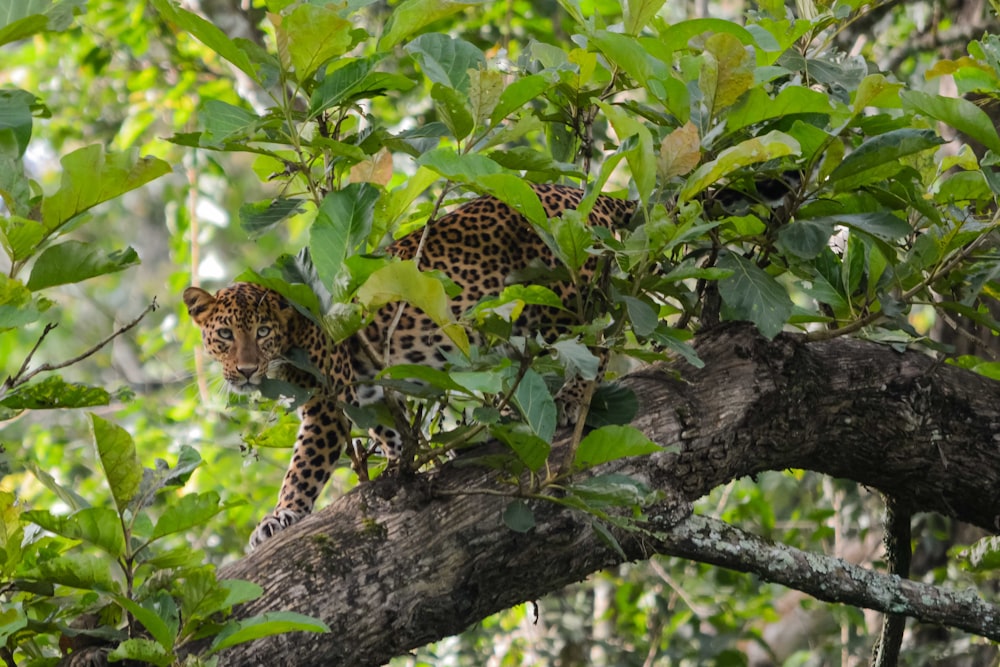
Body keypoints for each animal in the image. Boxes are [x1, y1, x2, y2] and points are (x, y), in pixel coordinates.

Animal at [184, 183, 636, 548]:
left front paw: (281, 516)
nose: (245, 371)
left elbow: (303, 466)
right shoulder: (367, 391)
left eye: (262, 332)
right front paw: (415, 464)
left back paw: (572, 399)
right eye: (224, 335)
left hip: (566, 297)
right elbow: (393, 432)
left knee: (596, 344)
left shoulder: (329, 400)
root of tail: (582, 193)